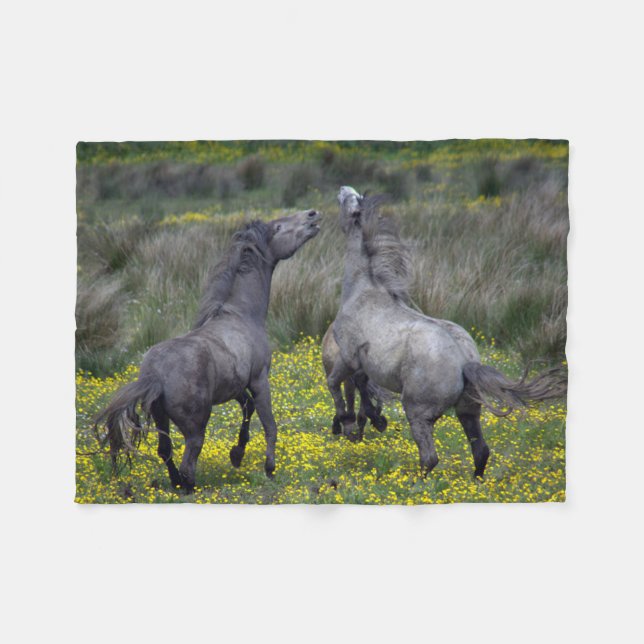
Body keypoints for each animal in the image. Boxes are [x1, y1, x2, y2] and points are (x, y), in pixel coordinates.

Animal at [95, 208, 322, 492]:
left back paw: (177, 484)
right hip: (196, 425)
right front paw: (269, 468)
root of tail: (155, 374)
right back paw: (188, 486)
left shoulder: (236, 386)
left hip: (161, 418)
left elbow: (247, 409)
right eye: (278, 227)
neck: (241, 315)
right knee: (188, 458)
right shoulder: (259, 379)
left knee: (165, 451)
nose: (312, 215)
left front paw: (236, 454)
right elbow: (269, 424)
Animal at [332, 186, 566, 478]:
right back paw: (475, 482)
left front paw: (347, 423)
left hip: (418, 412)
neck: (363, 291)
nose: (342, 189)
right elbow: (363, 387)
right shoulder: (363, 363)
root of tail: (465, 362)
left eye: (349, 200)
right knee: (481, 450)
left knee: (430, 458)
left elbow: (336, 385)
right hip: (468, 410)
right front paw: (373, 419)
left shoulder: (347, 356)